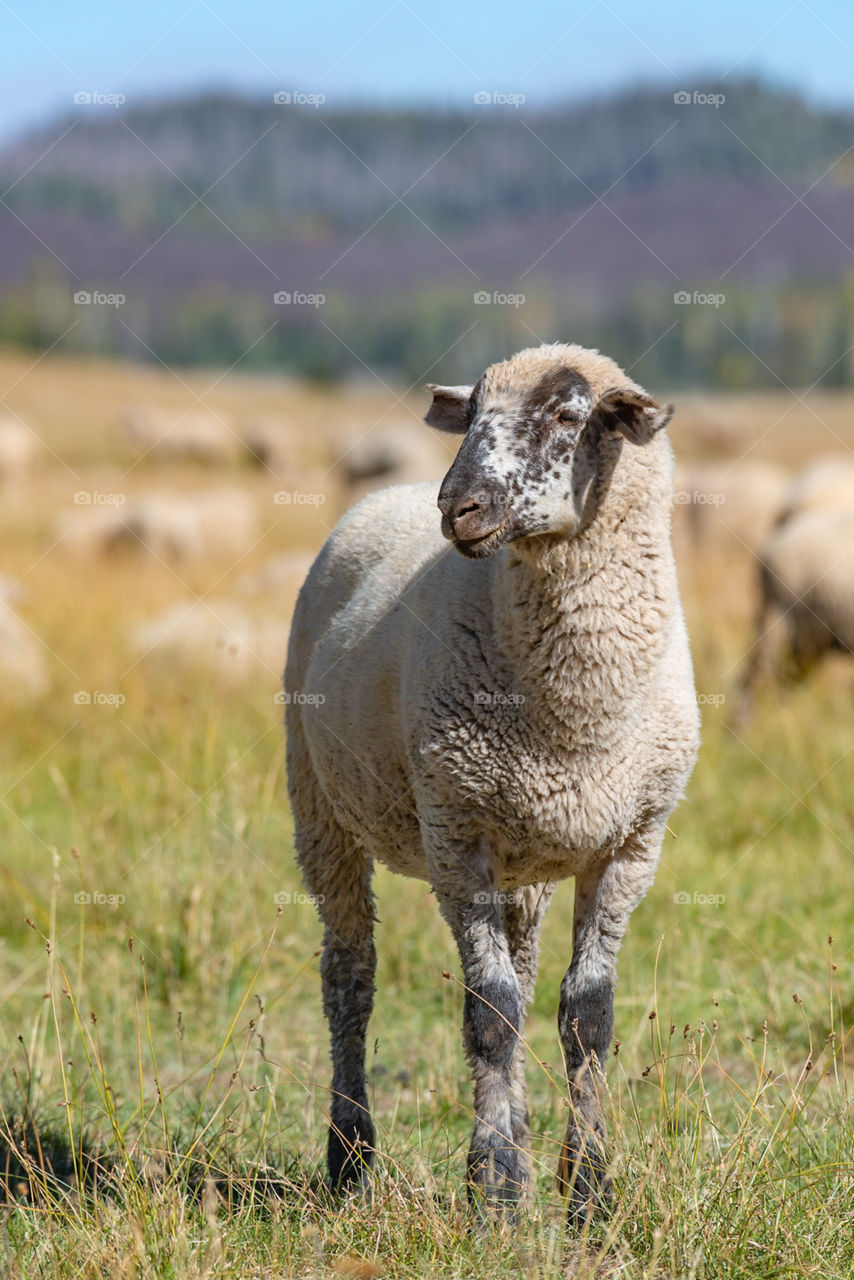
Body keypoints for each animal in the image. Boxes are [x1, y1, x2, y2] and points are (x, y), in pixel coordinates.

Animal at [285, 342, 700, 1223]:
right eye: (472, 413)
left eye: (570, 417)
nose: (459, 508)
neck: (576, 719)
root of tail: (399, 489)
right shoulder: (456, 835)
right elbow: (492, 1015)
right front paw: (500, 1190)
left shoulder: (630, 844)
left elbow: (586, 1017)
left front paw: (586, 1192)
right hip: (321, 808)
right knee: (351, 981)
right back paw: (350, 1158)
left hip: (528, 857)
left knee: (525, 967)